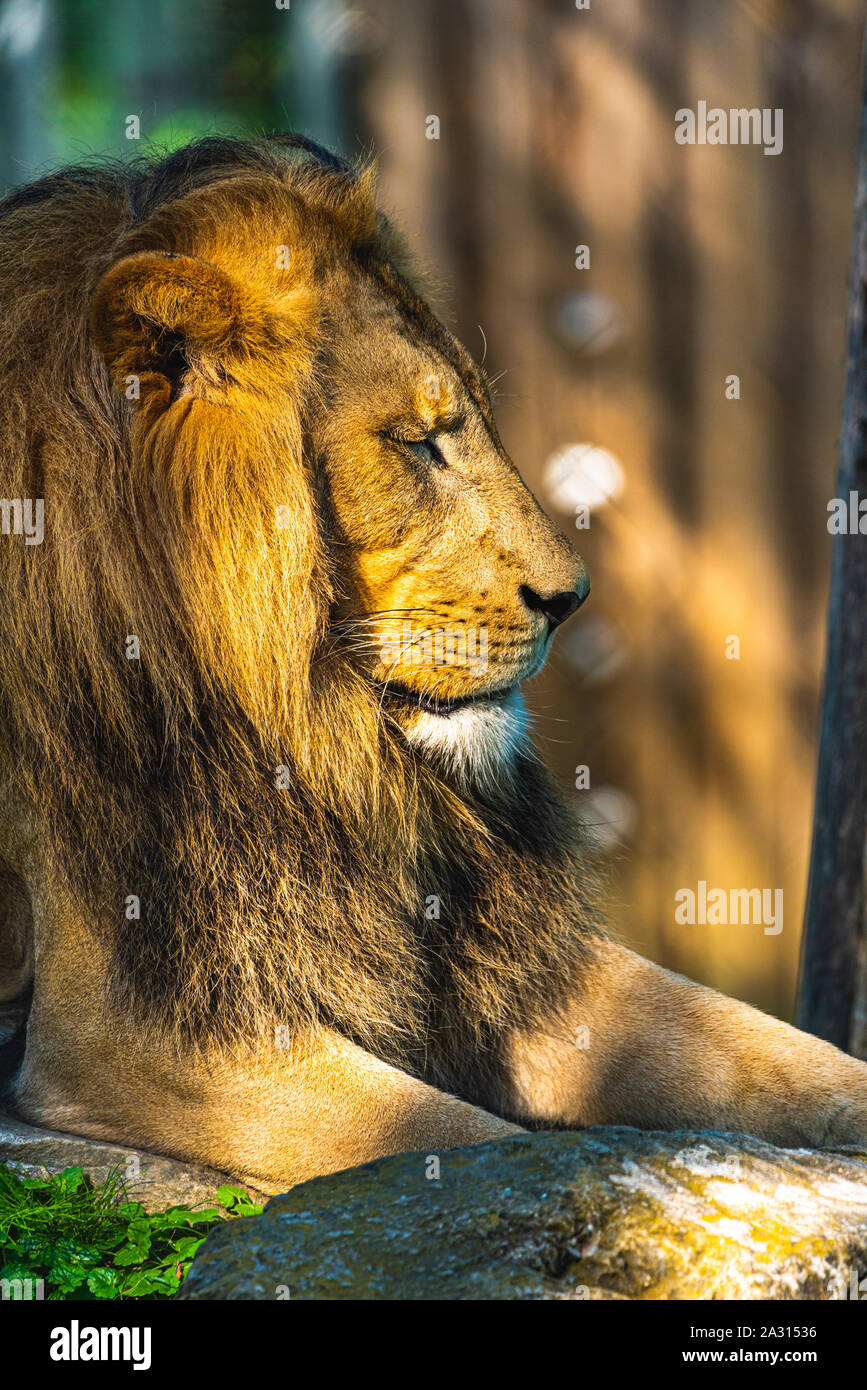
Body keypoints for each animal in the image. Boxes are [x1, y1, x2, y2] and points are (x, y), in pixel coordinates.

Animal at [1, 132, 867, 1195]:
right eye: (417, 444)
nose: (571, 598)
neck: (300, 737)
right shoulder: (136, 1031)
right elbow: (456, 1141)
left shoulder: (503, 951)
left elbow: (772, 1053)